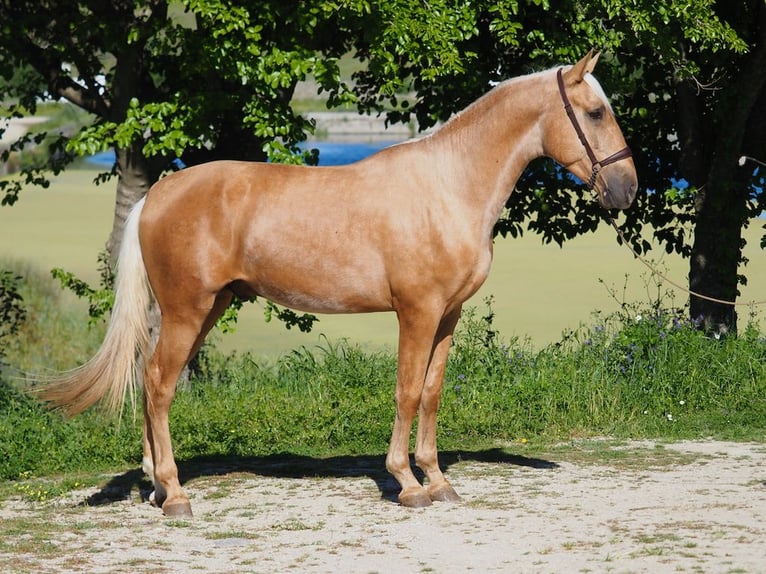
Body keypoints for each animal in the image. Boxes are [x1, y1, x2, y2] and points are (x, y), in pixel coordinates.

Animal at [37, 50, 636, 516]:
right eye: (595, 111)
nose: (627, 189)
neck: (448, 184)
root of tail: (157, 194)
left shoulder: (448, 314)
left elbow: (432, 393)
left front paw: (438, 480)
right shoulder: (417, 311)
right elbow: (407, 390)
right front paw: (409, 484)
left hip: (207, 308)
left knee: (147, 378)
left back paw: (158, 488)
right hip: (189, 310)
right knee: (160, 384)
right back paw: (176, 494)